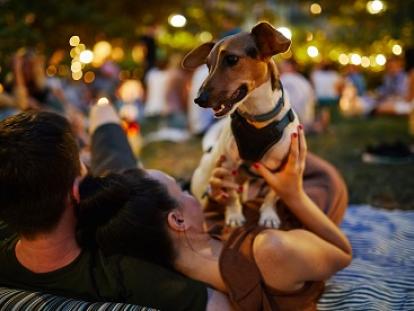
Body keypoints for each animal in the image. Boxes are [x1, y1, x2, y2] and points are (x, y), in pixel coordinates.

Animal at [183, 20, 300, 228]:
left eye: (231, 59)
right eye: (208, 65)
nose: (198, 99)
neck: (258, 117)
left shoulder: (282, 169)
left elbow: (273, 195)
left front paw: (269, 214)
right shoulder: (228, 165)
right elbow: (230, 196)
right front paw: (234, 215)